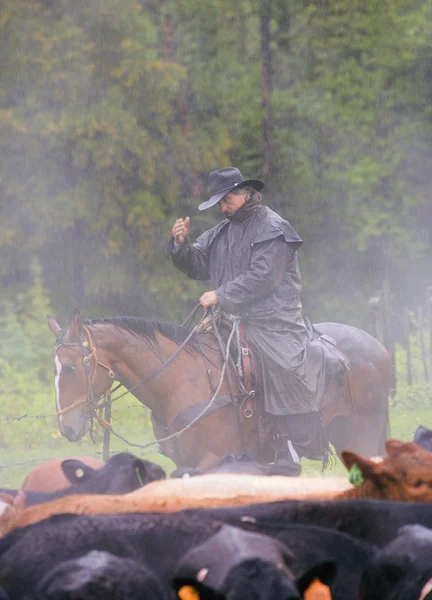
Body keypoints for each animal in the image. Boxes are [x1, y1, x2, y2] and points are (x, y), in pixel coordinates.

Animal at [48, 312, 392, 472]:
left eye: (71, 368)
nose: (67, 427)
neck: (181, 380)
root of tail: (380, 348)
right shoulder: (184, 464)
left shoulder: (212, 462)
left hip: (361, 437)